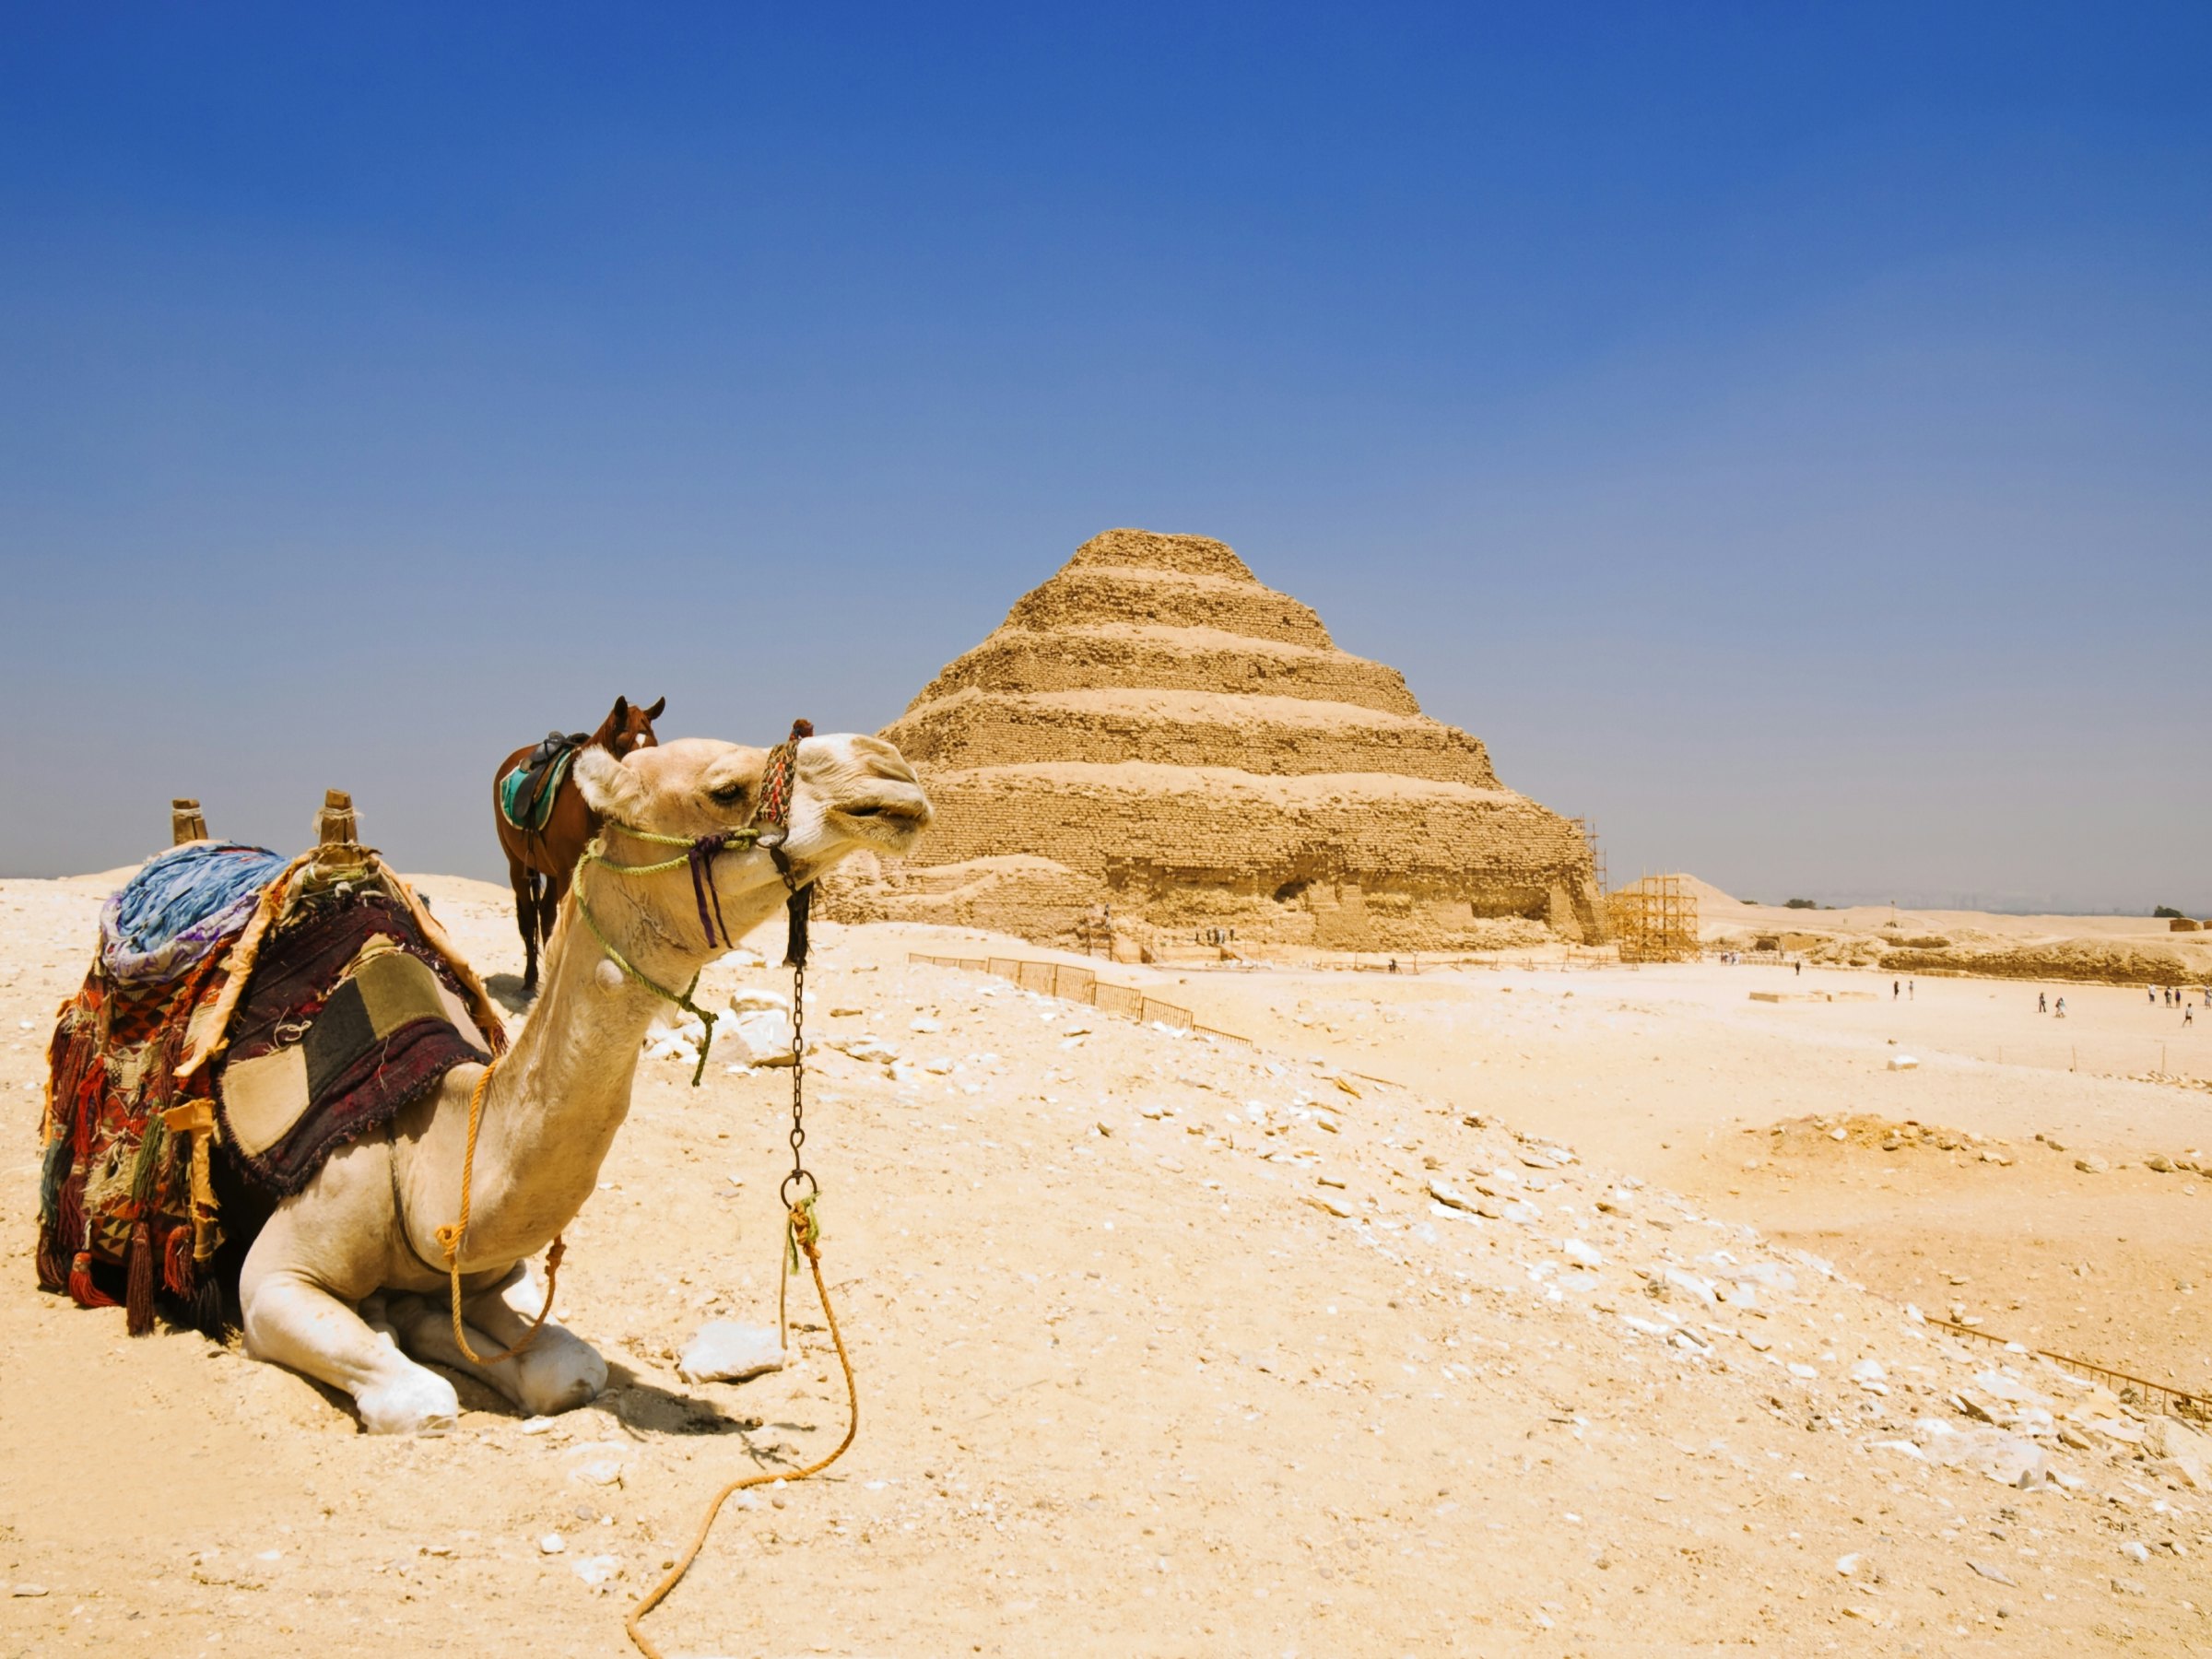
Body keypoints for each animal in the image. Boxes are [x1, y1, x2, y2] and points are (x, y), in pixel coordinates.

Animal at [238, 734, 929, 1433]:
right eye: (726, 789)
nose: (890, 769)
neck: (422, 1153)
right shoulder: (269, 1282)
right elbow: (423, 1400)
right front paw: (392, 1327)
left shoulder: (486, 1272)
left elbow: (570, 1367)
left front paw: (409, 1316)